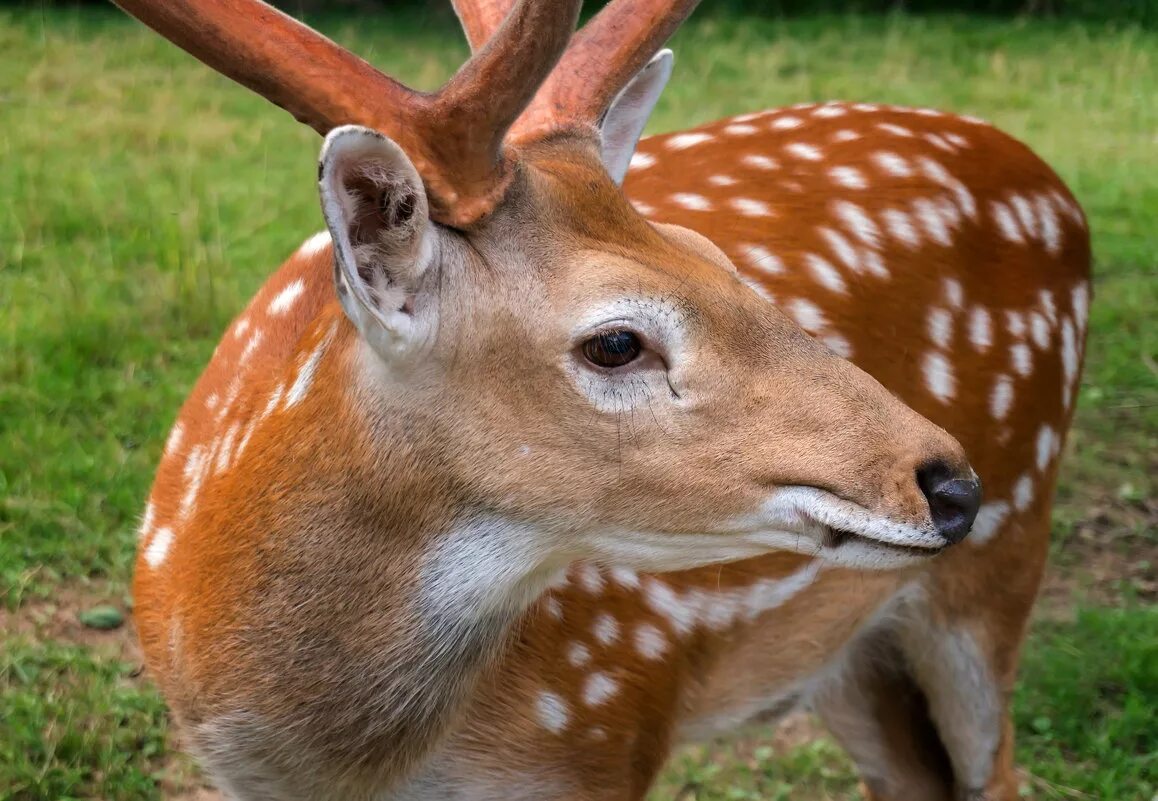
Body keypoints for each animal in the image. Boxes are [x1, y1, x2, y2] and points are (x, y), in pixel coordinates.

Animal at [117, 0, 1093, 796]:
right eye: (616, 341)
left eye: (708, 251)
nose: (950, 483)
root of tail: (1047, 174)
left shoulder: (600, 737)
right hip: (845, 644)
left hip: (1002, 559)